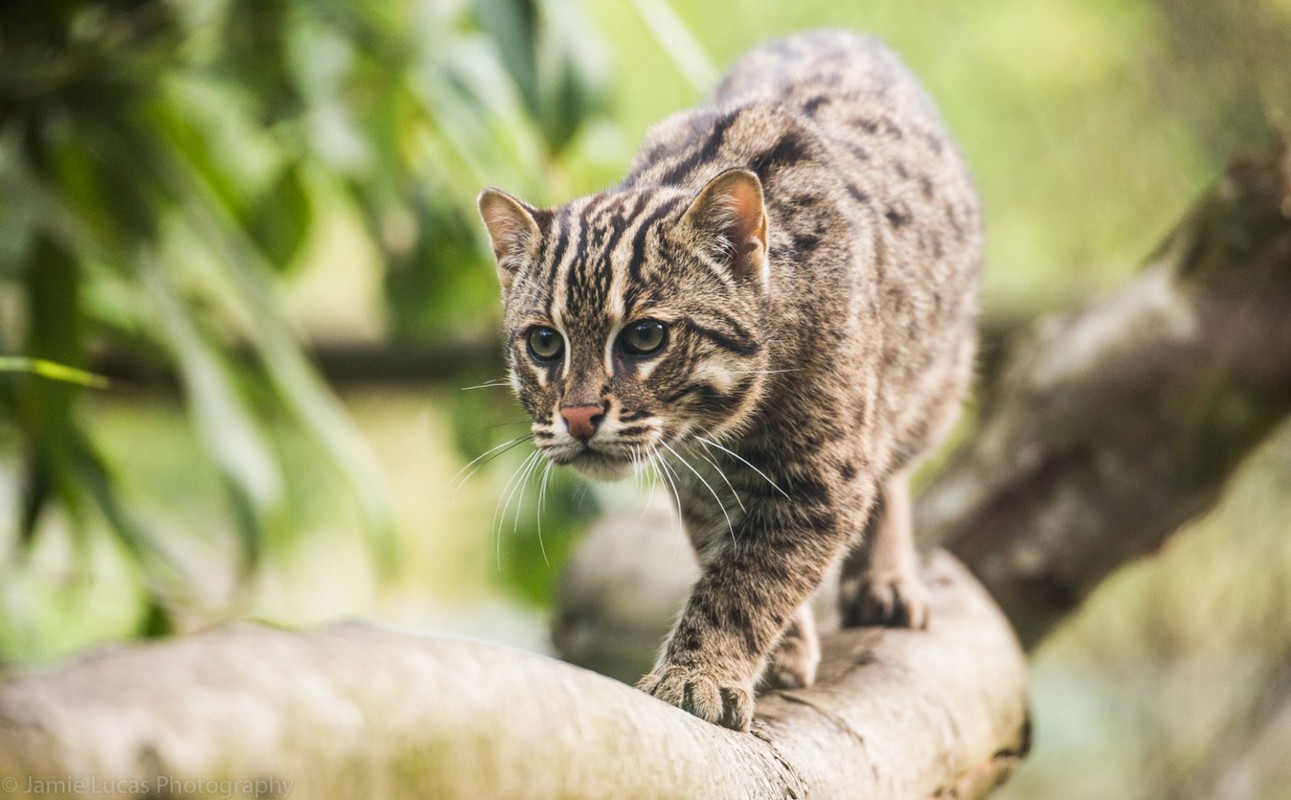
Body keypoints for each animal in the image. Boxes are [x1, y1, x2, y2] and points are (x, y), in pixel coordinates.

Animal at [477, 31, 975, 732]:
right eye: (544, 344)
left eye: (646, 337)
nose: (576, 417)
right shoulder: (696, 481)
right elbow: (726, 555)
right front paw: (776, 650)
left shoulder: (821, 476)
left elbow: (750, 577)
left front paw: (700, 674)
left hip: (936, 380)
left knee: (894, 464)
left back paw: (886, 576)